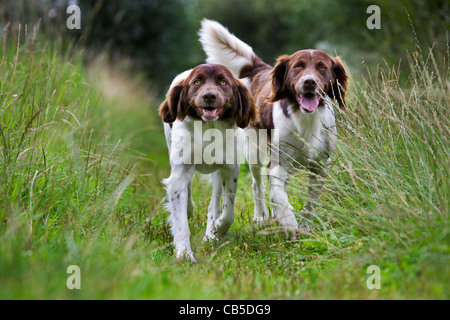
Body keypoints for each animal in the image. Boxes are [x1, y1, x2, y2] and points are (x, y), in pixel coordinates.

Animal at [158, 63, 256, 262]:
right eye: (196, 82)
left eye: (223, 82)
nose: (209, 96)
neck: (209, 130)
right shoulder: (181, 170)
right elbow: (180, 219)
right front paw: (184, 254)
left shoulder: (230, 169)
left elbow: (228, 211)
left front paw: (217, 230)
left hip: (218, 173)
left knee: (215, 203)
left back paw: (211, 233)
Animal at [199, 18, 350, 232]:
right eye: (298, 66)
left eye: (322, 67)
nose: (309, 82)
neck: (304, 119)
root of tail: (261, 70)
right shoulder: (277, 165)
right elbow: (280, 198)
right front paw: (289, 224)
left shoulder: (321, 165)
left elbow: (310, 203)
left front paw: (304, 227)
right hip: (254, 148)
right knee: (257, 184)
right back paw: (261, 216)